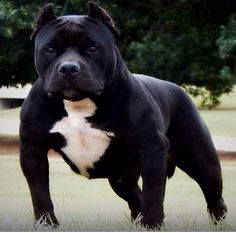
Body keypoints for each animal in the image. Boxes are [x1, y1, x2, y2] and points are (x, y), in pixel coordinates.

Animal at [19, 1, 227, 228]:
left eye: (93, 48)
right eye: (50, 49)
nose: (68, 68)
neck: (79, 104)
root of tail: (177, 88)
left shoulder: (151, 148)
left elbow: (154, 193)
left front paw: (153, 225)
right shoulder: (33, 150)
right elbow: (39, 193)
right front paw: (46, 224)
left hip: (201, 162)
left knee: (213, 195)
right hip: (121, 178)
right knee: (135, 197)